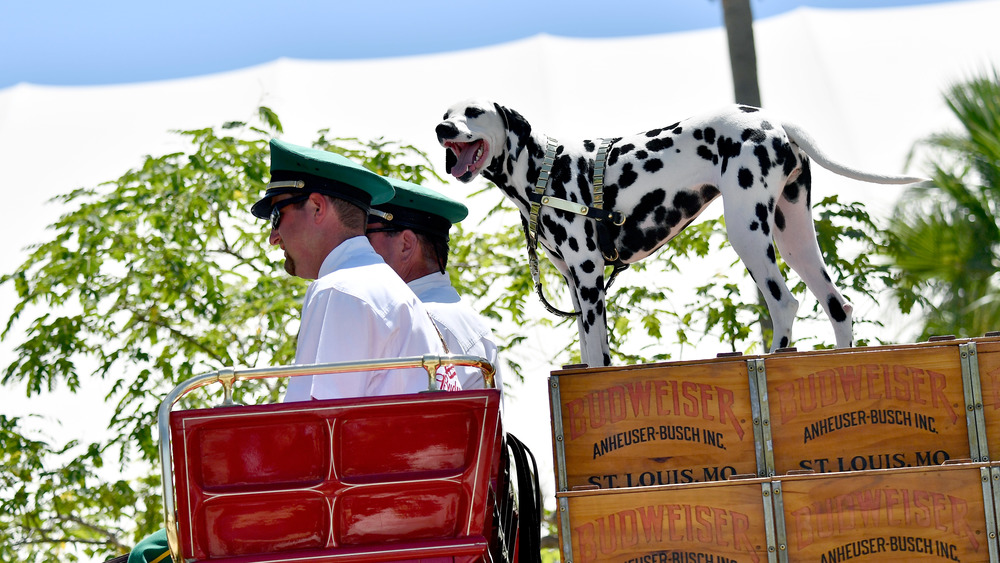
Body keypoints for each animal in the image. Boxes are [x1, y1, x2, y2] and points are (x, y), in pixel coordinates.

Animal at [438, 99, 920, 368]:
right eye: (445, 115)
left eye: (473, 113)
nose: (443, 128)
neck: (542, 168)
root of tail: (774, 121)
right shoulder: (578, 286)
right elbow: (588, 355)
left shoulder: (591, 281)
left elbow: (598, 358)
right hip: (794, 237)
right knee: (838, 306)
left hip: (748, 233)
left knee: (785, 303)